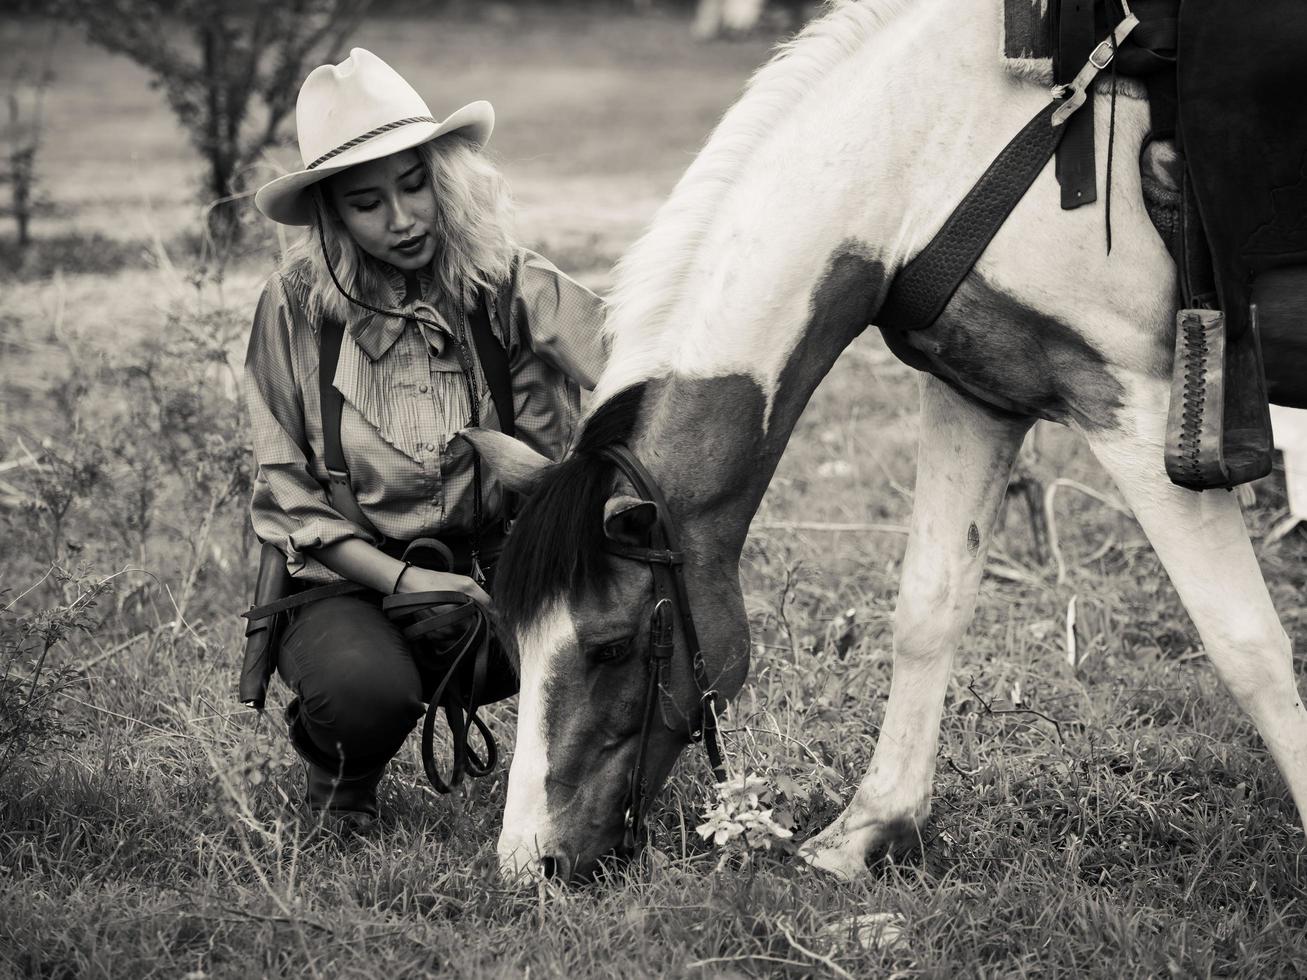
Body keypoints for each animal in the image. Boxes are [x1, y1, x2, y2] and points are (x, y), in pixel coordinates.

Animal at [467, 0, 1307, 883]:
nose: (528, 863)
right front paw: (869, 828)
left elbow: (1246, 644)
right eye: (514, 645)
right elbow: (927, 607)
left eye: (610, 647)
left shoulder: (1137, 410)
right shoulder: (975, 396)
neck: (943, 149)